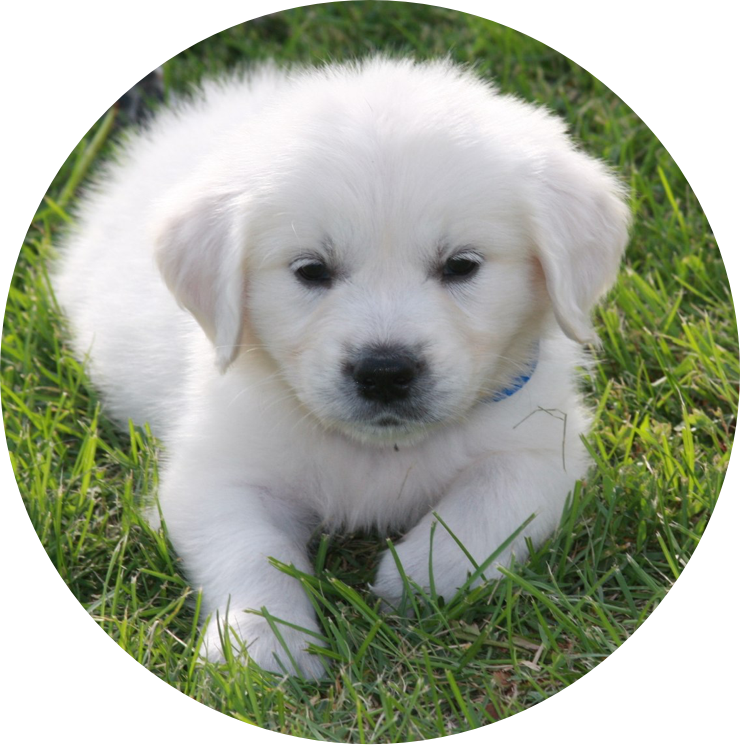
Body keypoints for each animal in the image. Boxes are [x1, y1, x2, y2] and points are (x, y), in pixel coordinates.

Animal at [53, 56, 632, 676]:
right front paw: (263, 644)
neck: (378, 449)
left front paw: (420, 574)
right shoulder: (216, 474)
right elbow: (250, 550)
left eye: (462, 265)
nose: (384, 372)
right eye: (311, 270)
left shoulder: (546, 448)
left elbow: (489, 501)